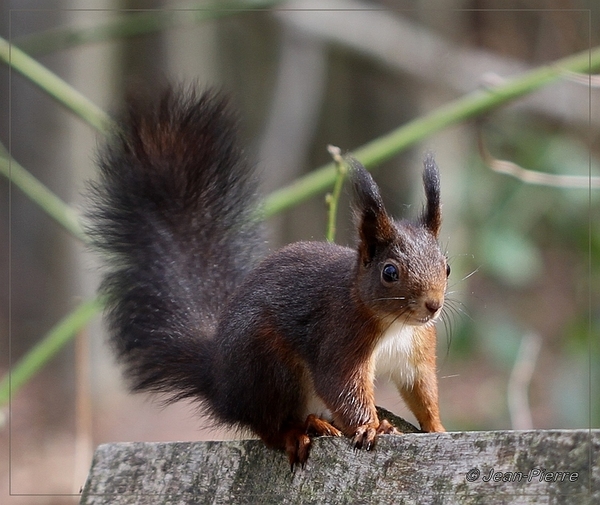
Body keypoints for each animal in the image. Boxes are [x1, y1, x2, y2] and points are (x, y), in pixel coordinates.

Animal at [86, 86, 448, 468]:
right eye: (390, 272)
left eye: (447, 267)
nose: (433, 305)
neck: (395, 324)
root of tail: (221, 385)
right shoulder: (339, 335)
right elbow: (341, 385)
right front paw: (369, 427)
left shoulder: (418, 350)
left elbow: (421, 390)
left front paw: (436, 427)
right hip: (269, 366)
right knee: (269, 426)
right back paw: (300, 431)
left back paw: (322, 422)